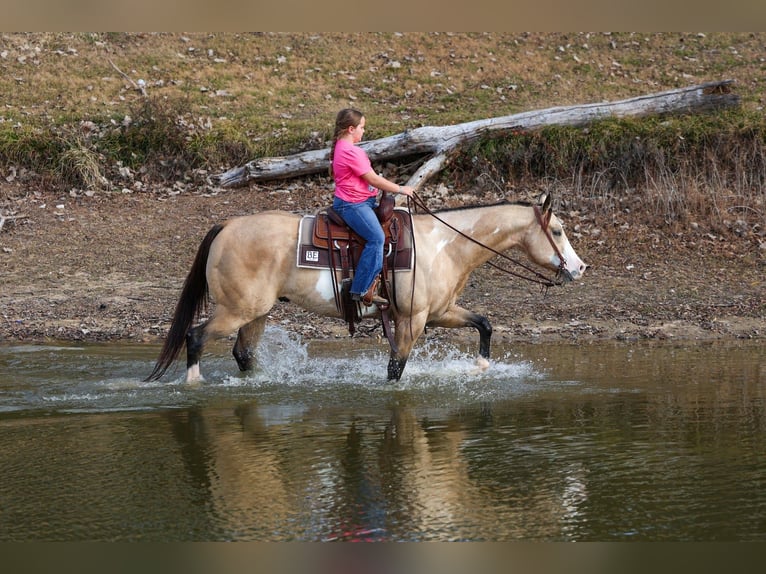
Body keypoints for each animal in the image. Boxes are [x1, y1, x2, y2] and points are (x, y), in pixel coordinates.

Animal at [145, 192, 587, 383]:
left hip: (257, 312)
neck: (443, 244)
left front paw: (480, 366)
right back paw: (194, 383)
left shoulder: (439, 313)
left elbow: (485, 323)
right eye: (558, 231)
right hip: (238, 309)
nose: (580, 267)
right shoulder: (411, 320)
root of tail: (226, 226)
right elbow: (396, 368)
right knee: (195, 336)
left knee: (242, 353)